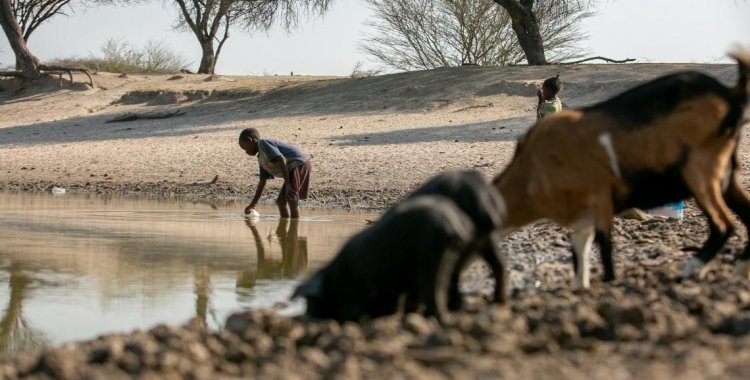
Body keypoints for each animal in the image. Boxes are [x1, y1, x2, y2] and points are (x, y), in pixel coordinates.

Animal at [494, 49, 750, 288]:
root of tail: (728, 93)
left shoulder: (599, 200)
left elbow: (605, 248)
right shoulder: (582, 217)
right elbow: (580, 253)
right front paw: (580, 287)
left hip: (699, 172)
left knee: (723, 225)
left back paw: (690, 270)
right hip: (725, 174)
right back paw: (737, 271)